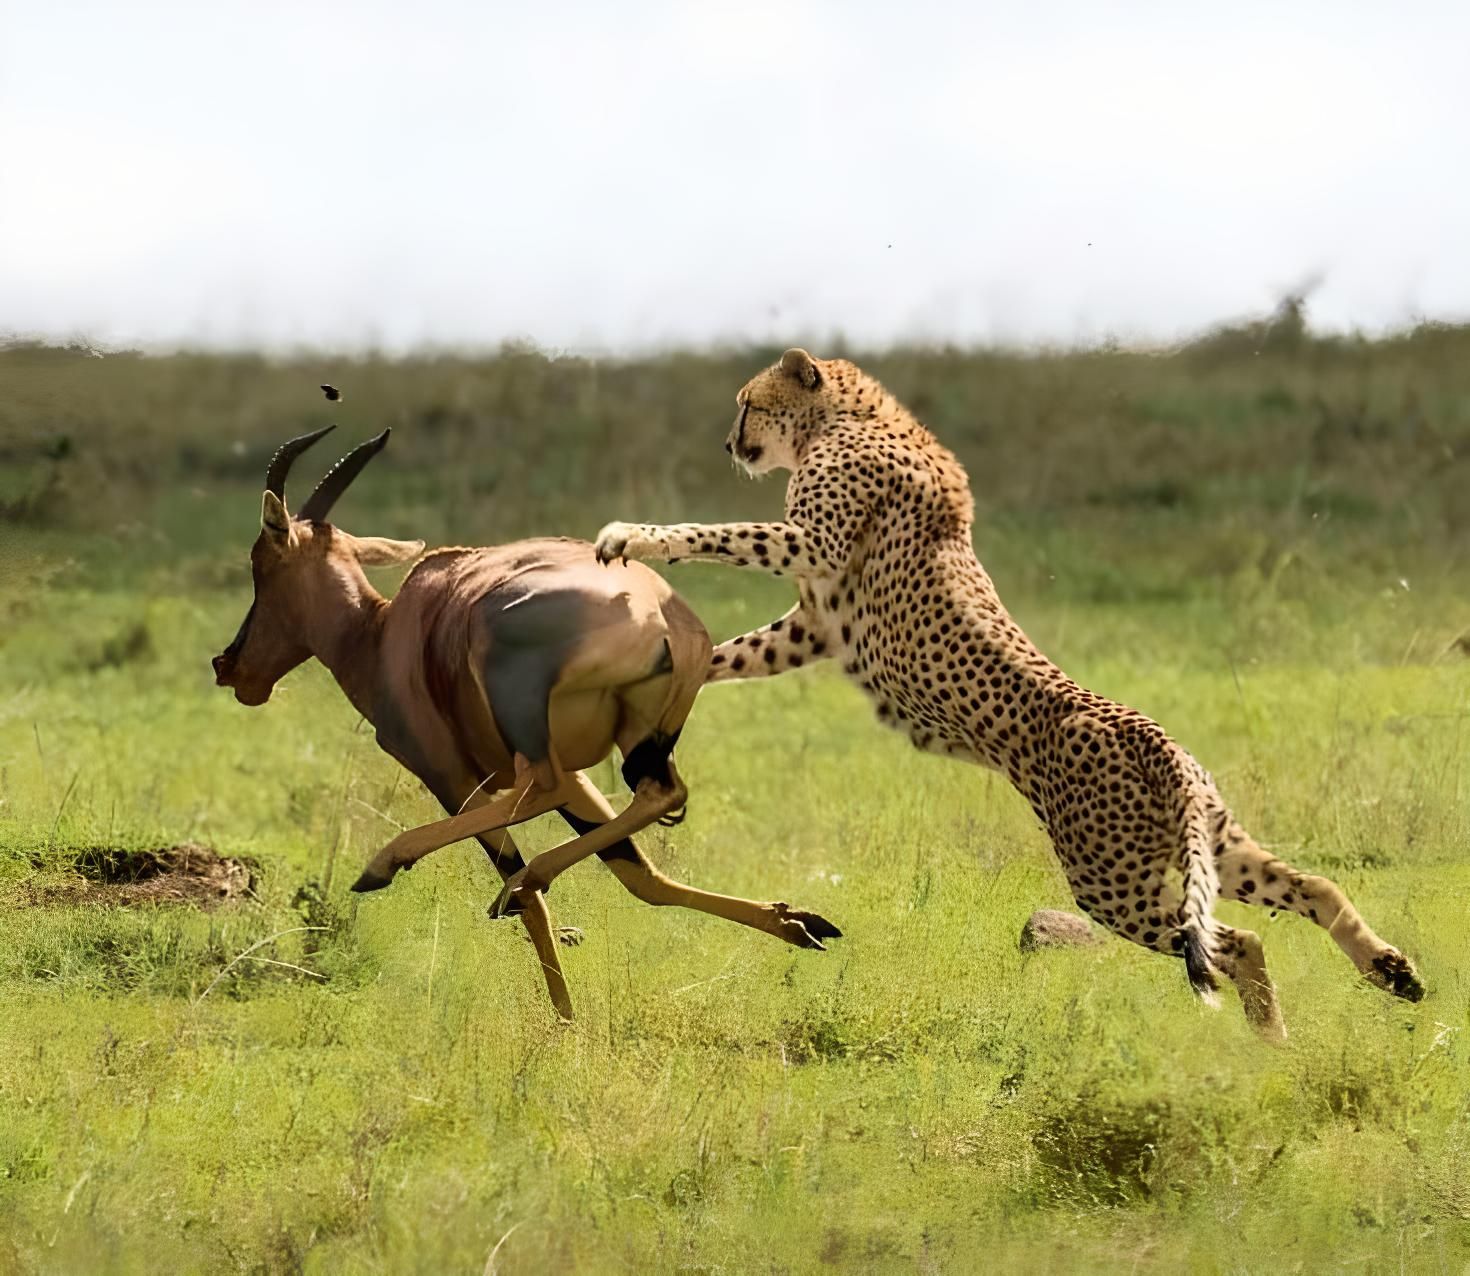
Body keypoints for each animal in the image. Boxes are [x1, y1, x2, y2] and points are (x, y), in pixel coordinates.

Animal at [593, 347, 1425, 1040]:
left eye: (747, 404)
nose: (728, 444)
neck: (854, 417)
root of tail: (1150, 736)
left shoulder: (815, 549)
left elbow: (720, 533)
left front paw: (633, 536)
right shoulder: (814, 627)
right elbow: (730, 654)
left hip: (1111, 881)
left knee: (1231, 941)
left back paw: (1276, 1033)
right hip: (1214, 847)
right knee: (1313, 886)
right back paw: (1373, 980)